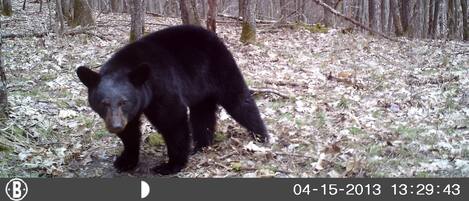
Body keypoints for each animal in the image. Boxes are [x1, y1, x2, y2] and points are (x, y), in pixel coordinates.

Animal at [76, 25, 266, 174]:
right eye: (104, 103)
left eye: (124, 102)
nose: (115, 126)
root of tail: (211, 34)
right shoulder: (130, 111)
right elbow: (130, 131)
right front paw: (125, 161)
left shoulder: (162, 86)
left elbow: (173, 120)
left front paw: (171, 165)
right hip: (201, 88)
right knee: (202, 114)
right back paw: (201, 145)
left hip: (220, 68)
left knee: (239, 100)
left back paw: (261, 136)